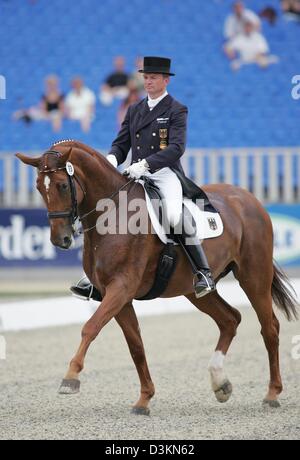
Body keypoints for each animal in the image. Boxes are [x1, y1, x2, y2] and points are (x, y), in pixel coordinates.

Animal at [17, 140, 298, 414]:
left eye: (63, 185)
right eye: (39, 188)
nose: (60, 239)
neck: (113, 214)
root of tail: (248, 197)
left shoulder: (121, 287)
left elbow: (91, 327)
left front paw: (70, 378)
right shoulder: (116, 295)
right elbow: (136, 345)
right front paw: (144, 400)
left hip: (254, 275)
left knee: (269, 327)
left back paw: (272, 394)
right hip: (194, 290)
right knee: (230, 319)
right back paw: (220, 383)